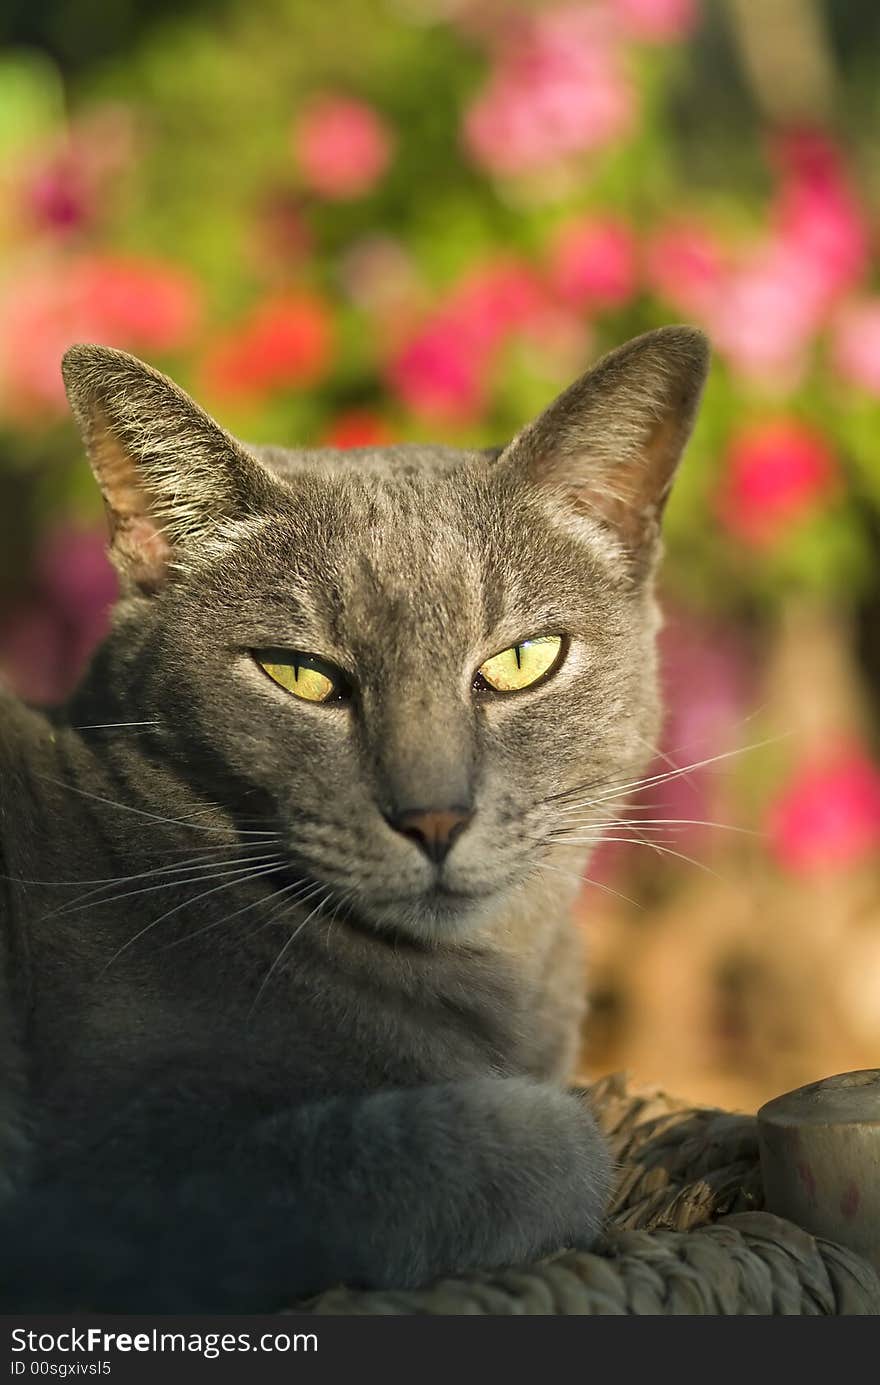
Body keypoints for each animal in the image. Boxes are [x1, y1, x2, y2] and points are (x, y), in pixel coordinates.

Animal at [0, 321, 709, 1307]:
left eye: (522, 660)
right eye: (300, 675)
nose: (435, 815)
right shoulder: (119, 1173)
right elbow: (510, 1144)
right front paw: (568, 1137)